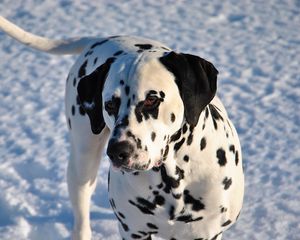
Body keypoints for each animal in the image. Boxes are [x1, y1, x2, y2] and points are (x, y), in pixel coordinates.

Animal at [0, 15, 244, 239]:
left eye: (151, 100)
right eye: (109, 105)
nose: (118, 151)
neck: (172, 180)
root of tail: (100, 39)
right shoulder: (133, 231)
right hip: (83, 162)